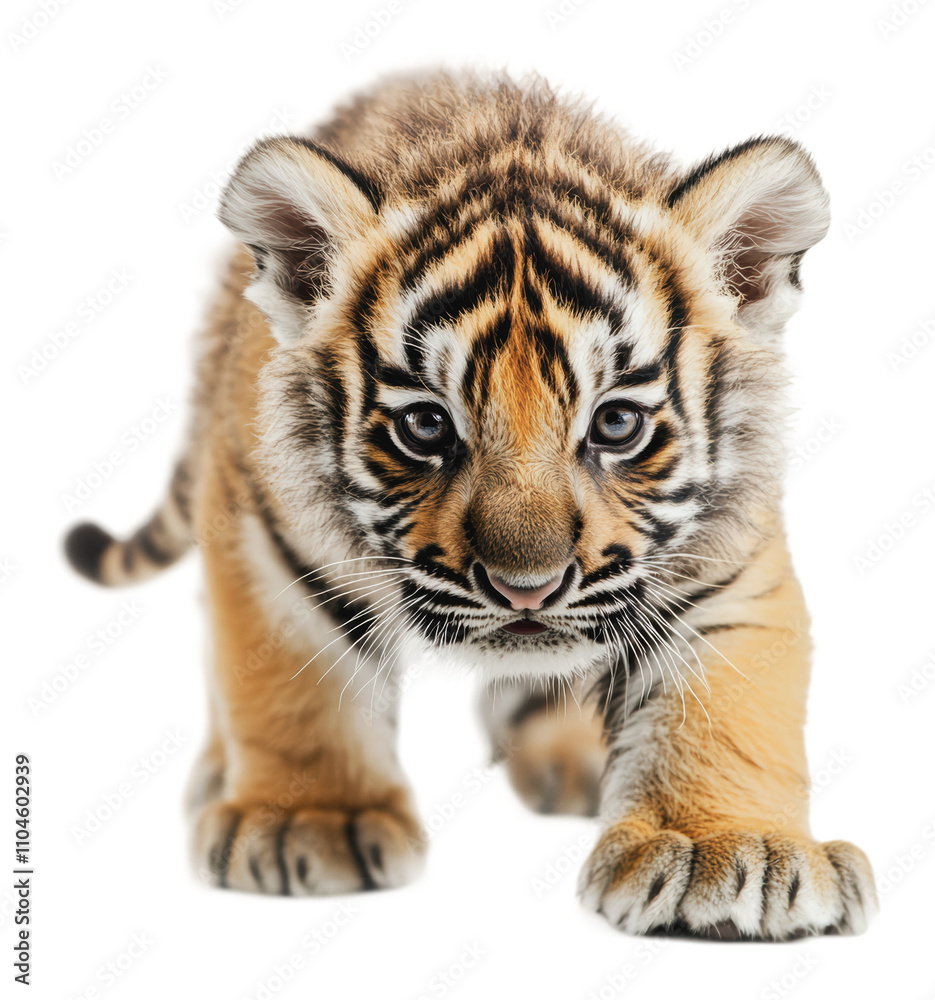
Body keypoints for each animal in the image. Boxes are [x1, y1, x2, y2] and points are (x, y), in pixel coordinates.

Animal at [64, 69, 876, 940]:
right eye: (426, 426)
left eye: (616, 424)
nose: (527, 589)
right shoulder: (263, 529)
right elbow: (291, 681)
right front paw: (308, 820)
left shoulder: (726, 554)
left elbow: (727, 697)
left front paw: (726, 848)